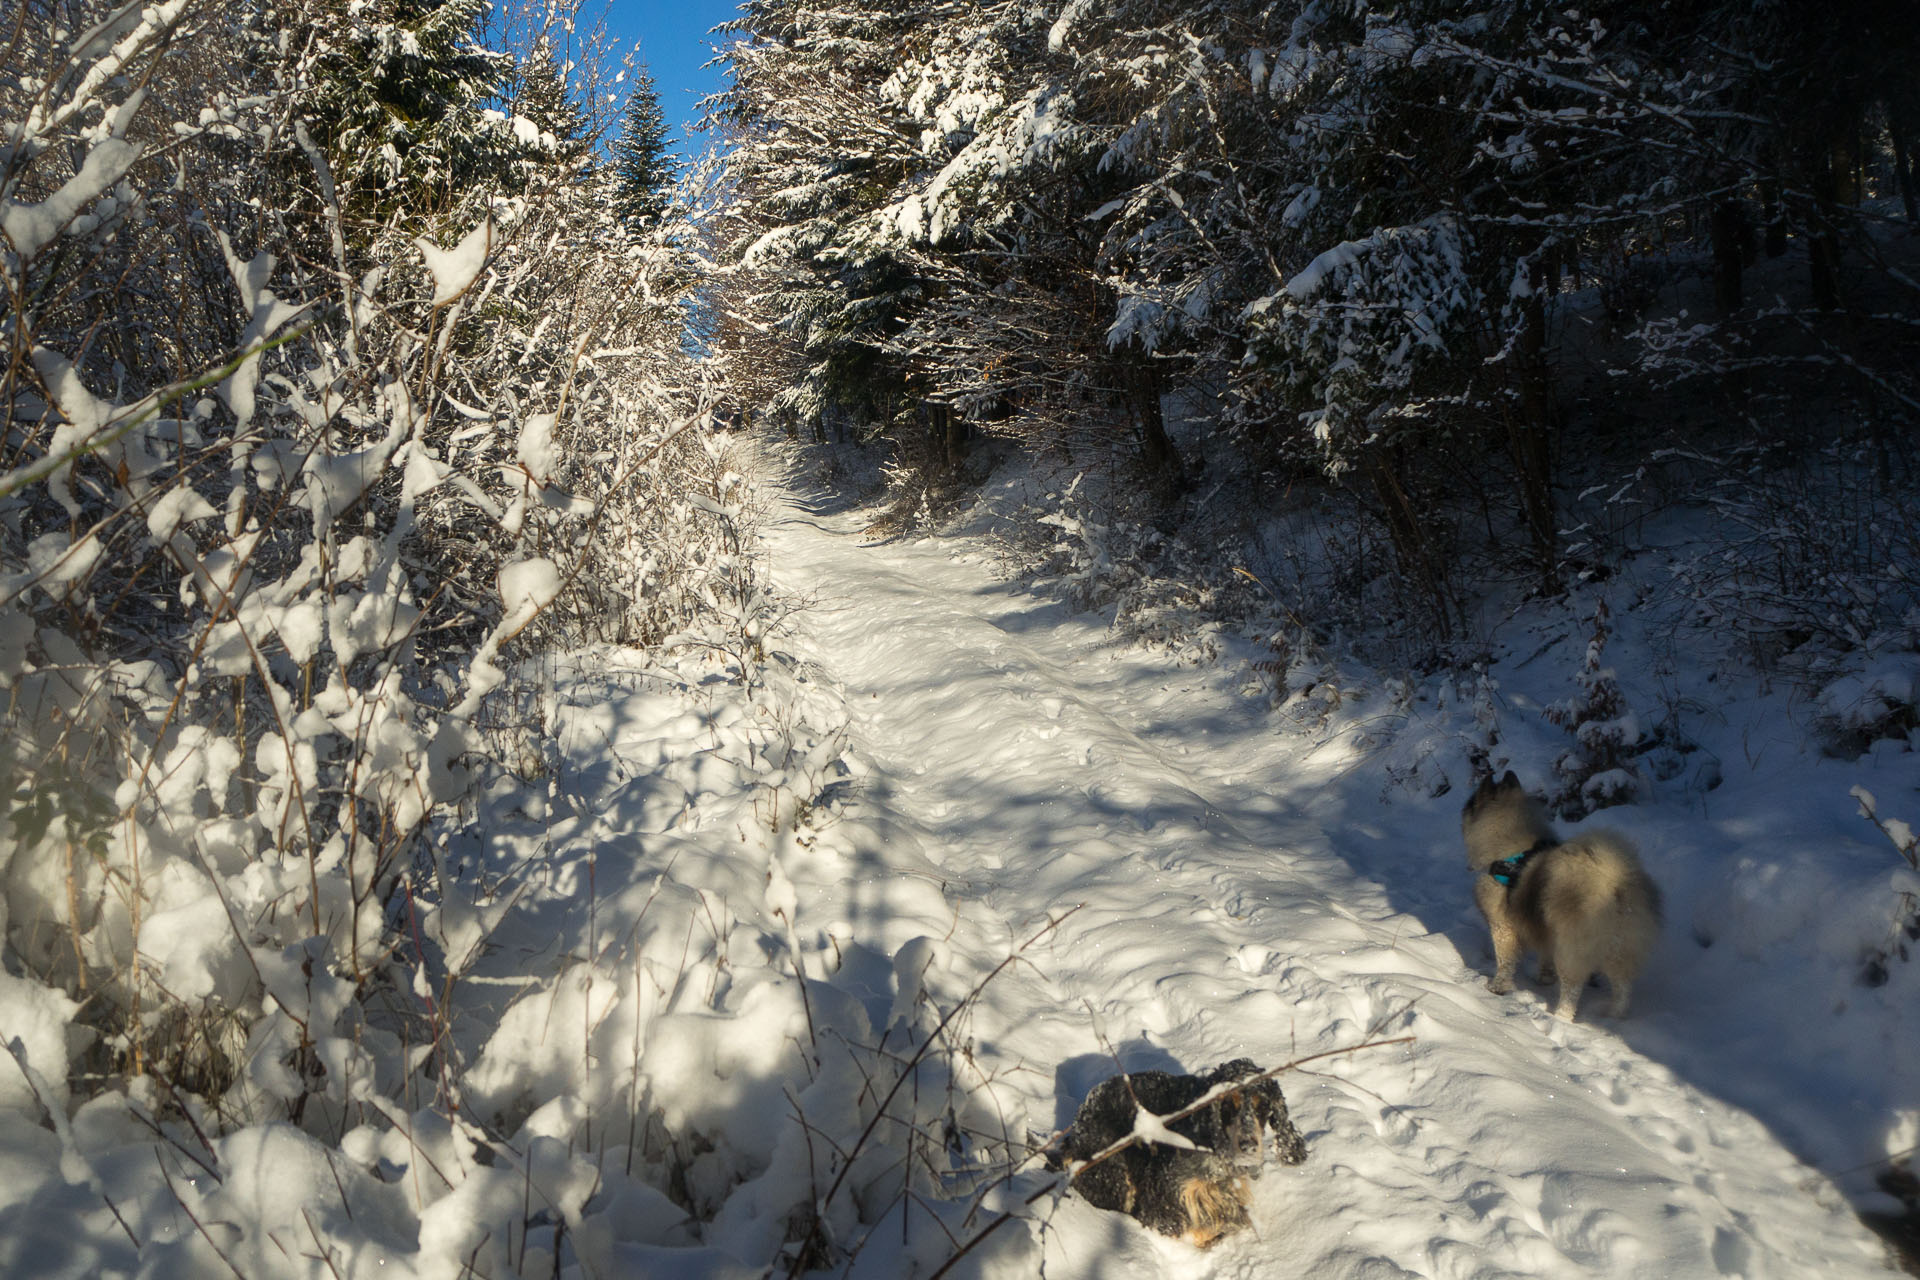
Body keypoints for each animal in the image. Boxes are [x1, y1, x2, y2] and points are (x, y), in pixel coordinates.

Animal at [1459, 771, 1658, 1020]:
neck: (1509, 850)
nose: (1462, 807)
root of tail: (1615, 884)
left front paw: (1497, 987)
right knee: (1622, 987)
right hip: (1619, 951)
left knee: (1572, 990)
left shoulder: (1502, 927)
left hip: (1571, 951)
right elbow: (1544, 959)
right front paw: (1544, 978)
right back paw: (1614, 1014)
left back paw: (1560, 1016)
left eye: (1470, 802)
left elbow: (1505, 962)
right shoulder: (1546, 931)